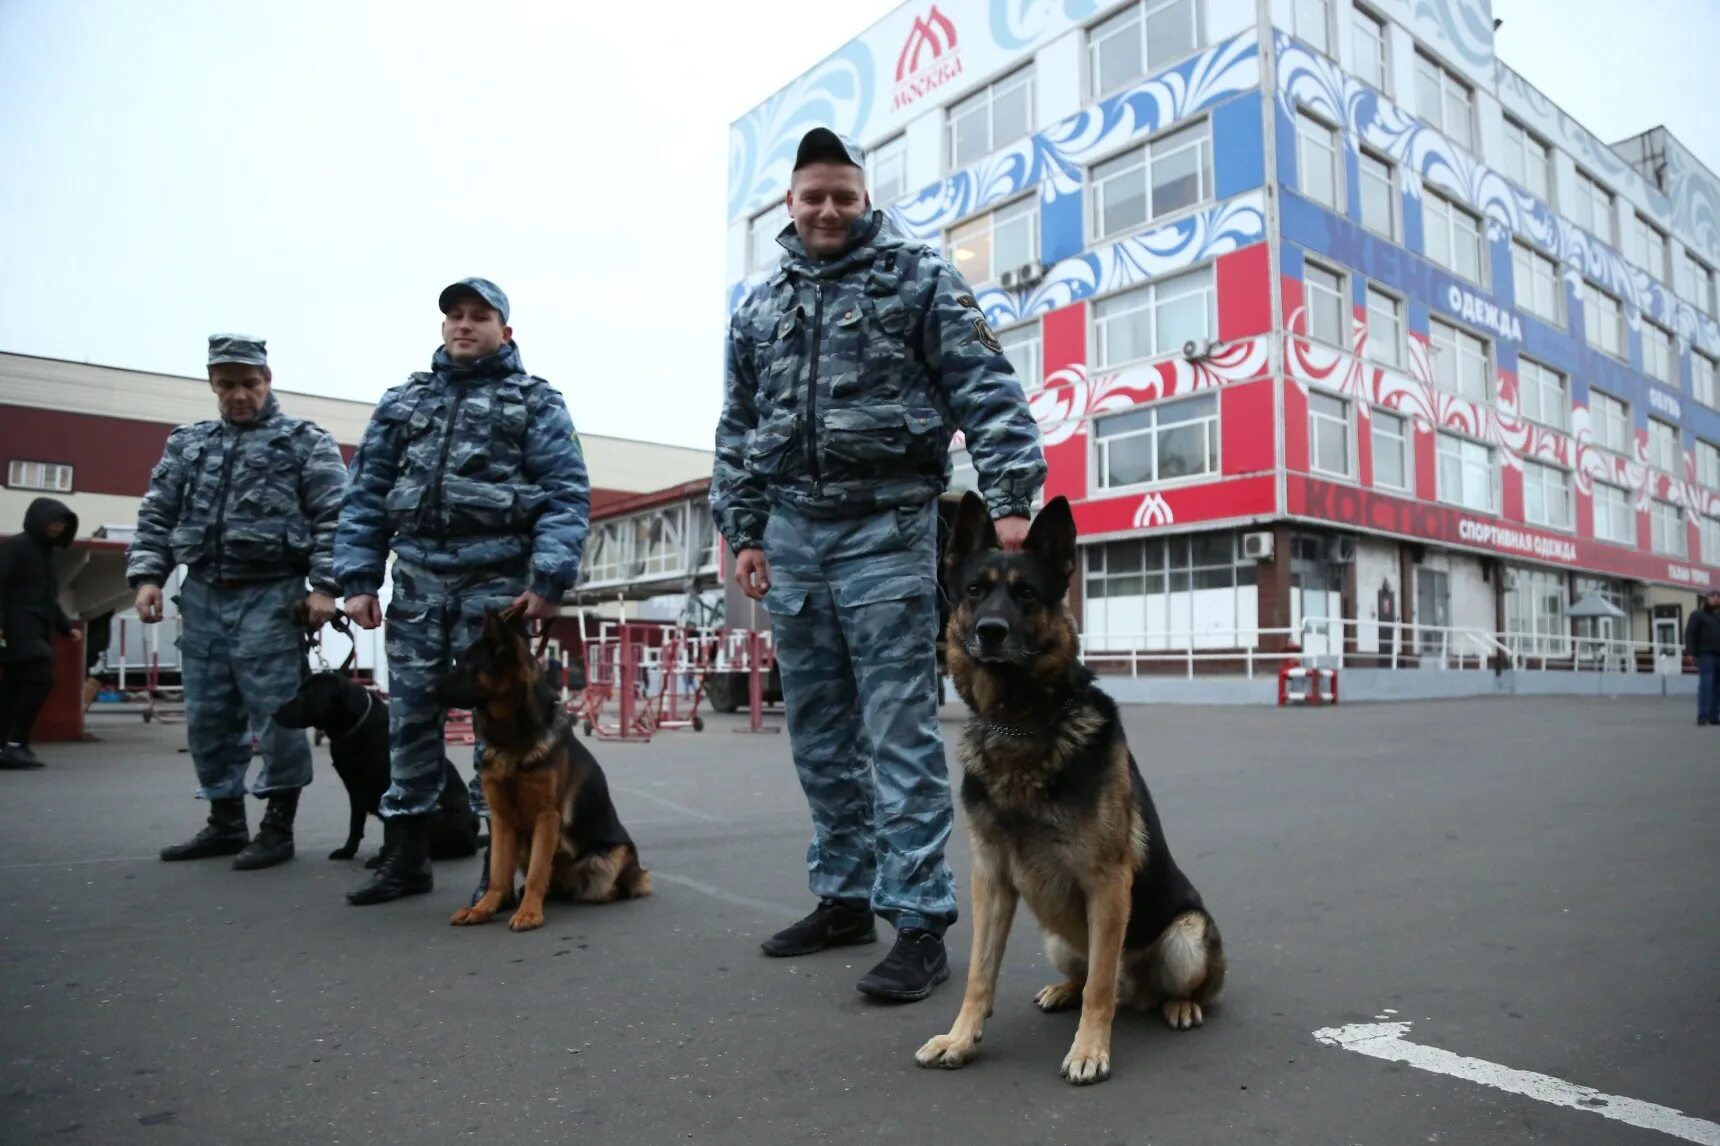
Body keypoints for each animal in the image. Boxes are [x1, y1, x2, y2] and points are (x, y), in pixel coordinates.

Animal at [271, 671, 481, 867]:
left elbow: (390, 827)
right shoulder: (355, 789)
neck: (354, 728)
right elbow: (355, 824)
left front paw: (384, 859)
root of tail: (474, 836)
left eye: (306, 695)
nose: (274, 712)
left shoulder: (387, 790)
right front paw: (348, 851)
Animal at [433, 605, 646, 929]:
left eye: (467, 665)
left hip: (607, 857)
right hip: (523, 841)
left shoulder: (547, 818)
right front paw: (483, 908)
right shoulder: (501, 819)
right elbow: (498, 872)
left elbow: (536, 872)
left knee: (609, 885)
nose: (426, 688)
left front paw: (529, 913)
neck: (513, 743)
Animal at [915, 488, 1224, 1080]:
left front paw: (1088, 1051)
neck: (1021, 722)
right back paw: (1063, 990)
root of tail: (1140, 994)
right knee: (1086, 976)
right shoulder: (991, 882)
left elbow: (1100, 987)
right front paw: (961, 1039)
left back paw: (1179, 1005)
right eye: (974, 591)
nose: (989, 631)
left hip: (1186, 937)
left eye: (1026, 594)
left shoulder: (1107, 883)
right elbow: (979, 975)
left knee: (1157, 986)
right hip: (1058, 936)